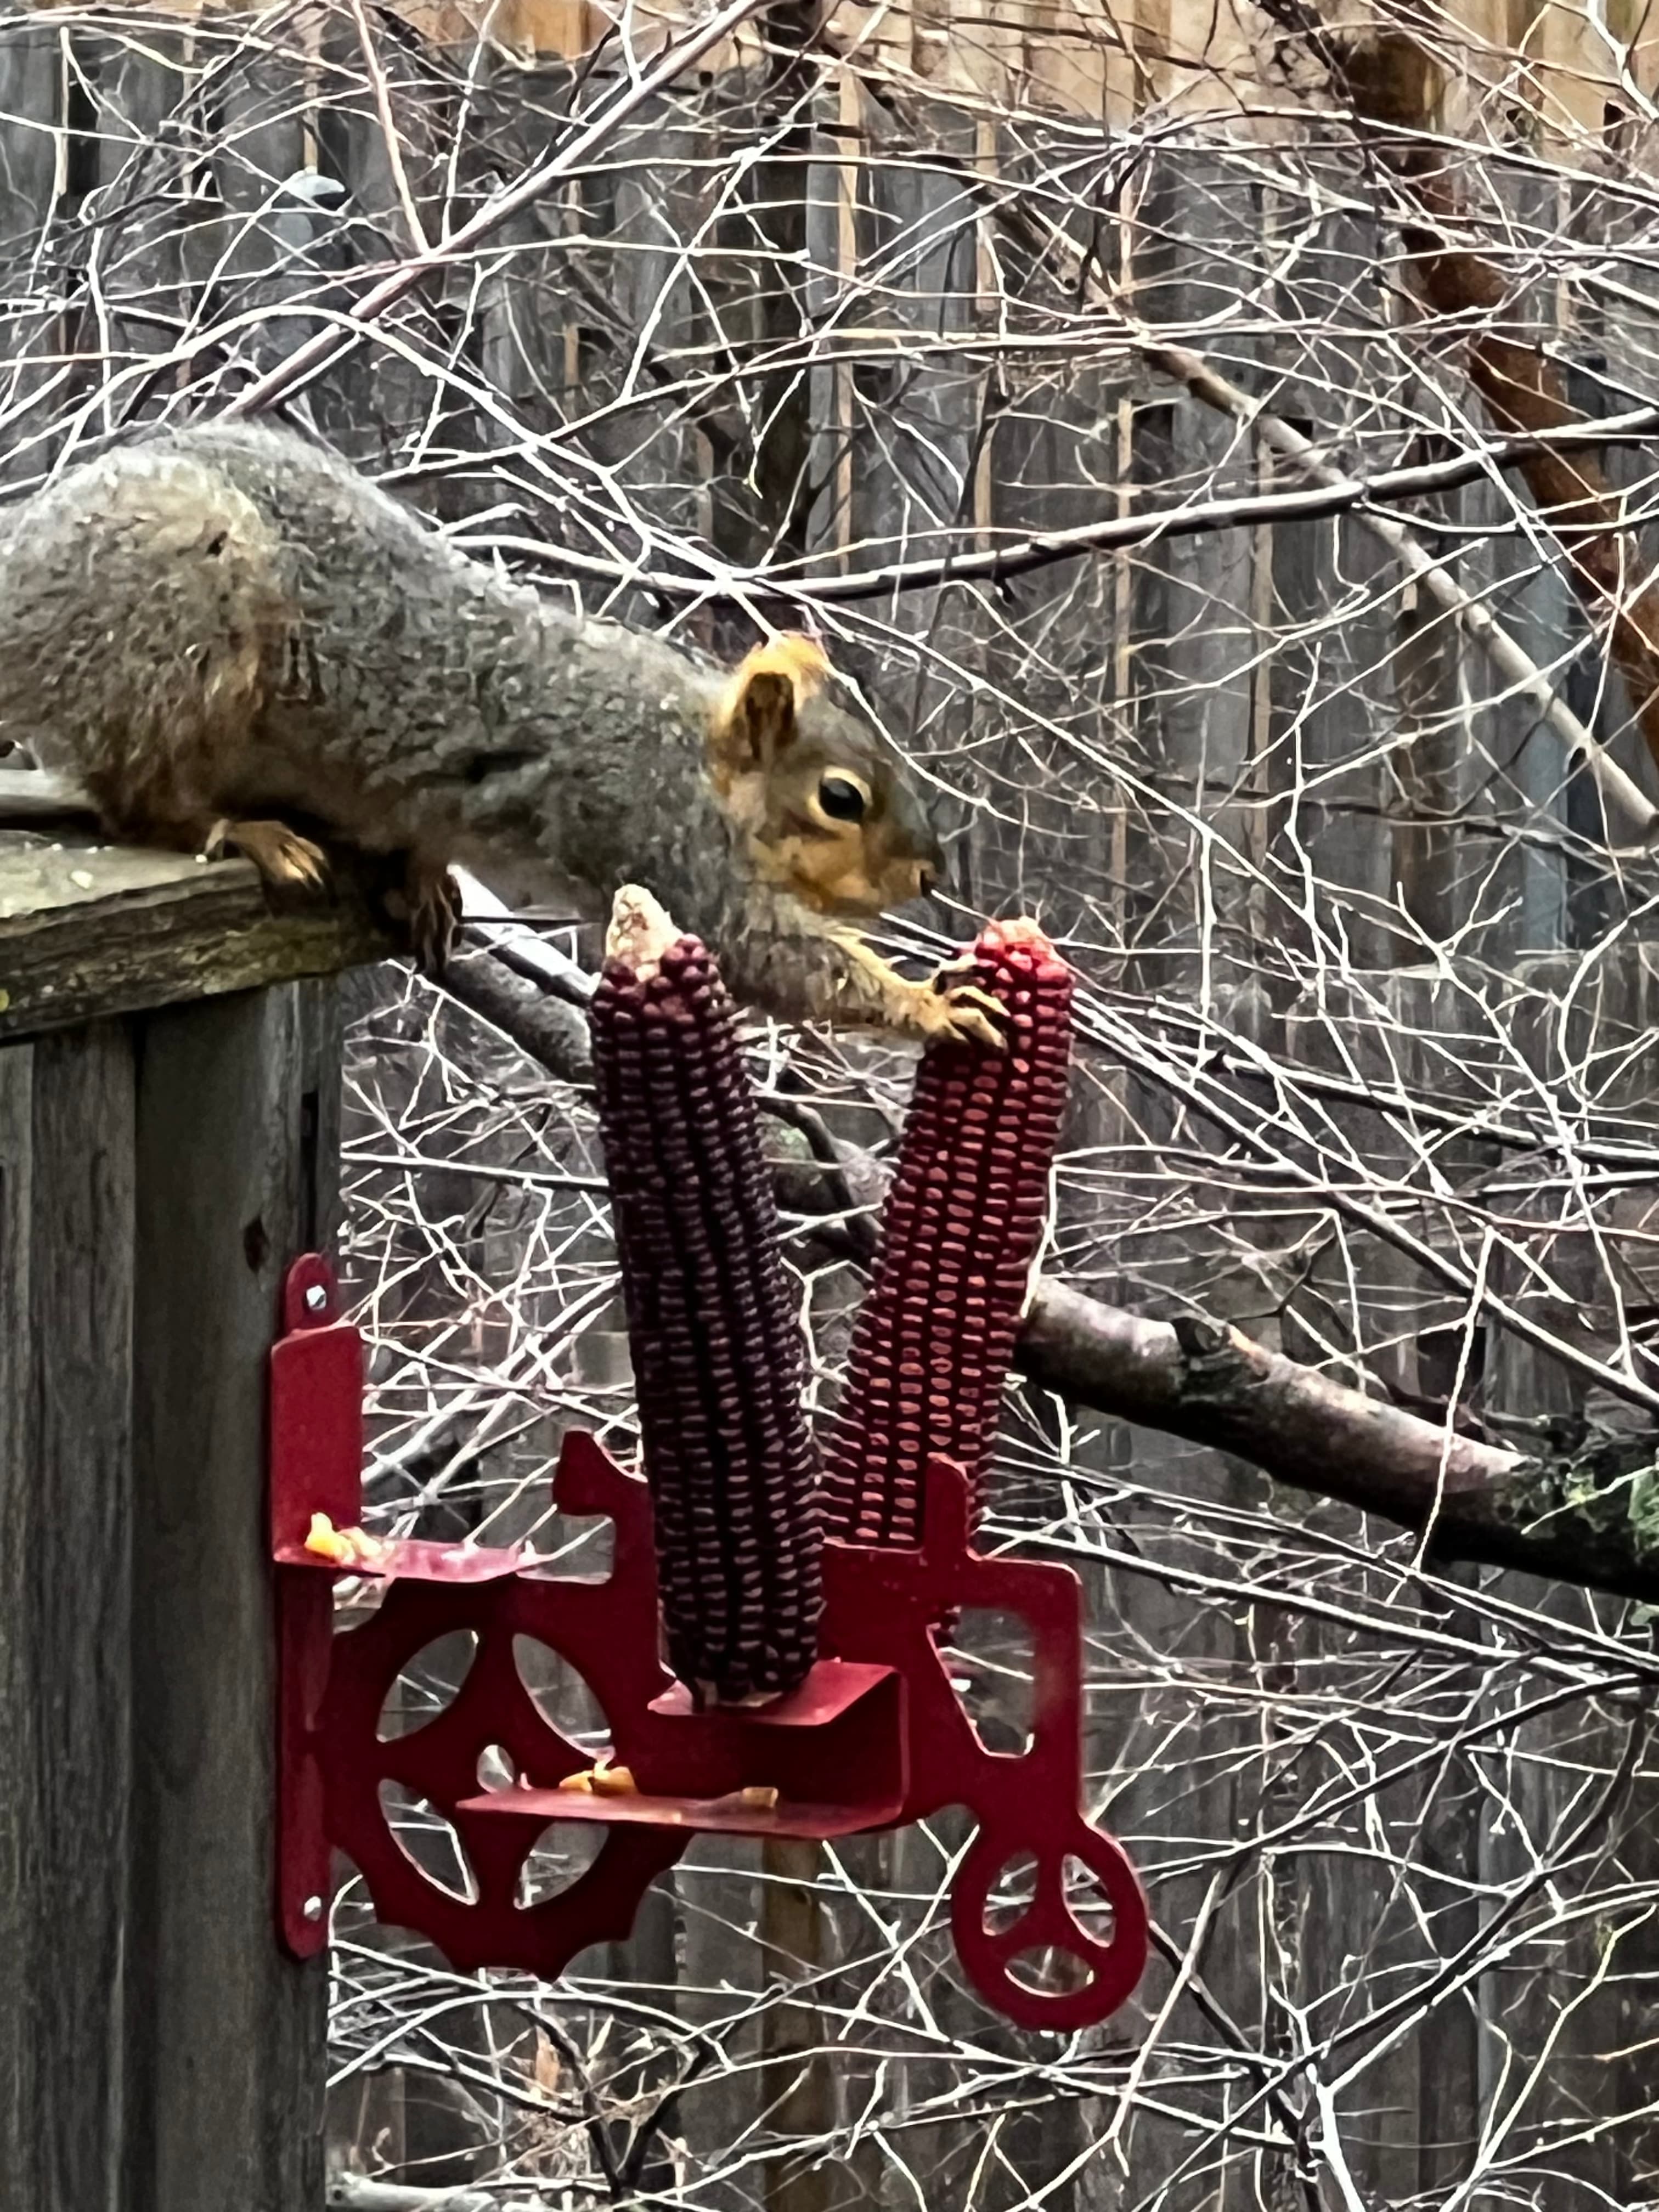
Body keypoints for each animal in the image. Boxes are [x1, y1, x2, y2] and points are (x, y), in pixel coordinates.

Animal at [0, 420, 1002, 1049]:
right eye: (840, 797)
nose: (927, 876)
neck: (696, 760)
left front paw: (423, 877)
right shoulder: (656, 830)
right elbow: (770, 955)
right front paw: (931, 1005)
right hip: (176, 636)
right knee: (138, 803)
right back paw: (247, 834)